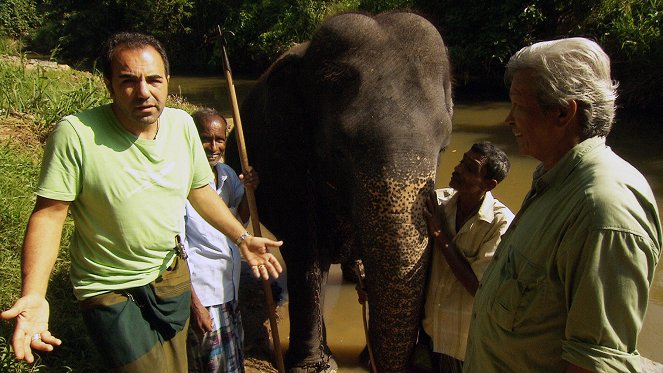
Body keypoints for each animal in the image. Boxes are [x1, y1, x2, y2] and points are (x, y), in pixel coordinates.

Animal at [226, 10, 454, 372]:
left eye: (444, 148)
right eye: (338, 152)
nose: (369, 359)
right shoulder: (282, 158)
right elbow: (306, 255)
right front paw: (315, 366)